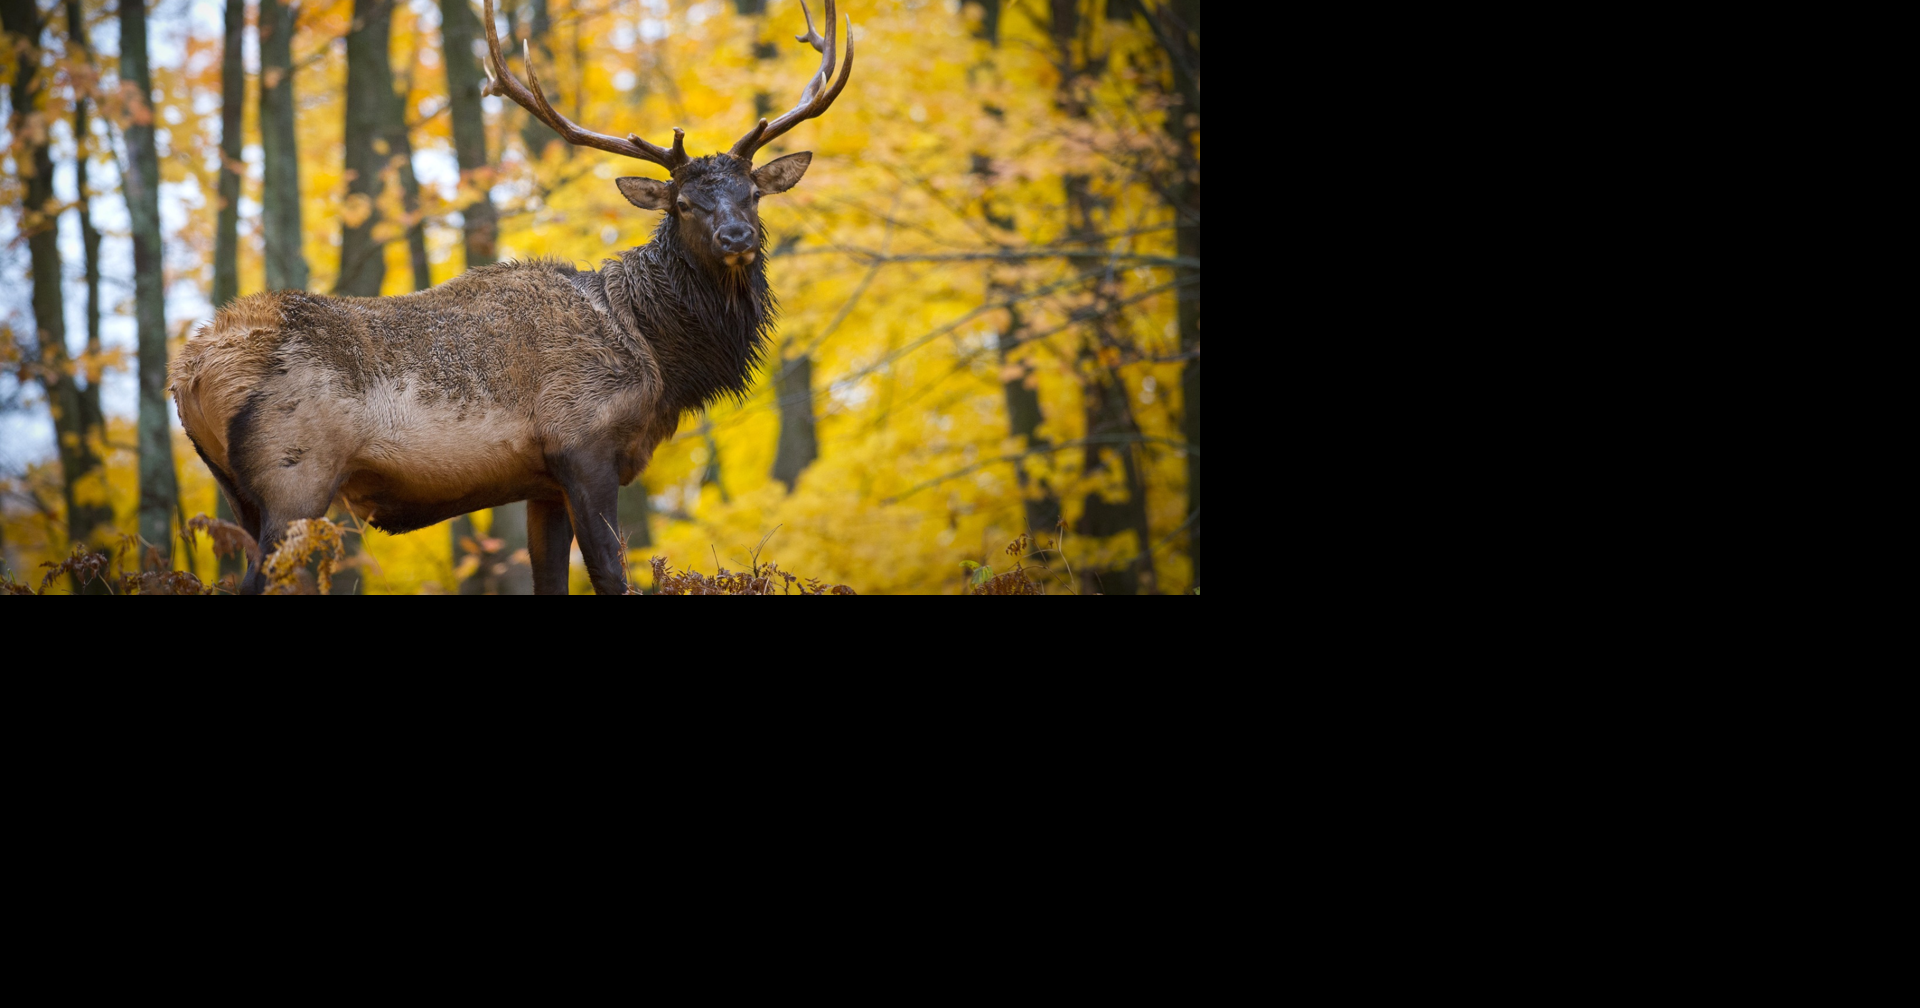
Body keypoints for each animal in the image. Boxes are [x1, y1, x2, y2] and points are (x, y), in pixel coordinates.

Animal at [171, 0, 853, 595]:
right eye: (684, 203)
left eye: (753, 194)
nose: (737, 237)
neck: (657, 357)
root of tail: (190, 372)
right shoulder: (582, 442)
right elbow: (610, 574)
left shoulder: (540, 482)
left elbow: (550, 580)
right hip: (295, 474)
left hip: (237, 489)